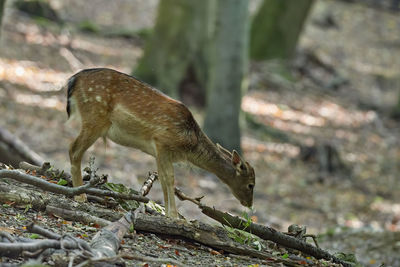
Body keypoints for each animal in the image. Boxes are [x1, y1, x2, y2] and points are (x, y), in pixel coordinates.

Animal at [64, 68, 255, 219]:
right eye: (251, 184)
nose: (249, 204)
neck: (189, 145)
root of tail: (74, 79)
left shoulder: (161, 153)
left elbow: (162, 178)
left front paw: (168, 214)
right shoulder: (163, 142)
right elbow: (170, 178)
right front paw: (175, 216)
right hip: (95, 117)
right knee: (73, 149)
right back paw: (80, 196)